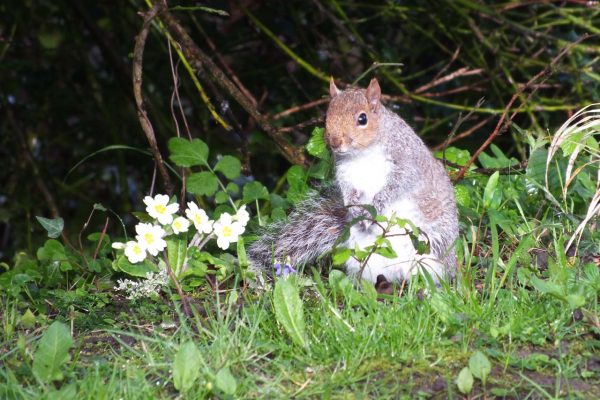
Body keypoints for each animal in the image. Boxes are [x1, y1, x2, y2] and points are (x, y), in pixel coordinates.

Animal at [248, 78, 460, 282]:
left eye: (362, 118)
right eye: (327, 117)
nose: (334, 142)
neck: (362, 153)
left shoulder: (407, 161)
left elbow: (399, 183)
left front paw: (378, 201)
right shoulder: (346, 172)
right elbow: (348, 190)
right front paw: (355, 206)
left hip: (429, 250)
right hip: (362, 256)